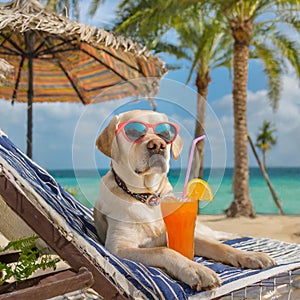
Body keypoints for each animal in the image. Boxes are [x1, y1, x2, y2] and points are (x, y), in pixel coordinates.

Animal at [93, 110, 274, 290]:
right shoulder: (118, 247)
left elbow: (217, 246)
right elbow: (164, 250)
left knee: (216, 236)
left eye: (165, 134)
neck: (147, 197)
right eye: (132, 131)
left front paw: (249, 255)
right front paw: (195, 269)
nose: (158, 145)